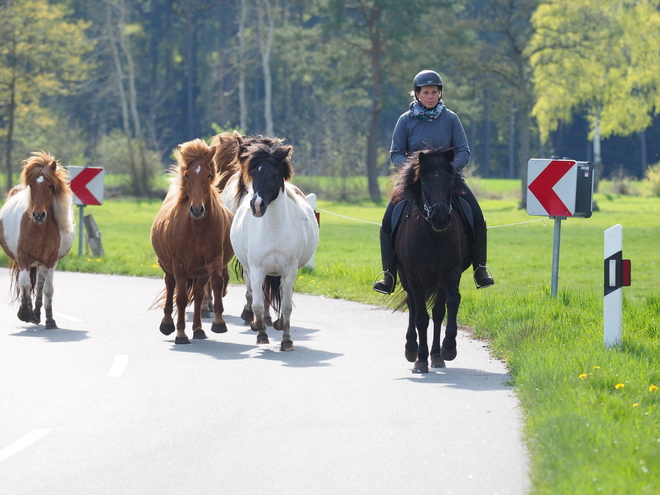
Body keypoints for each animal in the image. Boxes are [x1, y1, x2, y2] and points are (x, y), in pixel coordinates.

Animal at [0, 151, 75, 330]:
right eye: (32, 186)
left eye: (50, 186)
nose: (38, 215)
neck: (39, 229)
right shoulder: (23, 259)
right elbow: (25, 284)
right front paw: (24, 313)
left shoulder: (51, 261)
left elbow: (48, 289)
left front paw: (50, 320)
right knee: (25, 283)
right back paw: (29, 313)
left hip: (41, 263)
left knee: (40, 284)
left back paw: (37, 314)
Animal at [151, 140, 233, 344]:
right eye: (187, 175)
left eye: (209, 175)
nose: (197, 209)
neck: (196, 228)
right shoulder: (179, 265)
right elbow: (180, 298)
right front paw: (180, 333)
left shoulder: (213, 260)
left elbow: (217, 283)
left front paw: (218, 323)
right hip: (168, 267)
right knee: (170, 285)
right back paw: (167, 325)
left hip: (200, 272)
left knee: (198, 295)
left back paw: (198, 329)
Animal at [392, 149, 470, 374]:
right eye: (424, 181)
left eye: (449, 180)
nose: (440, 218)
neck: (431, 235)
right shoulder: (414, 277)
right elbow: (420, 317)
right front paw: (420, 360)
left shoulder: (450, 273)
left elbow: (449, 304)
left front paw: (448, 348)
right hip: (405, 277)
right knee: (413, 307)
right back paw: (412, 350)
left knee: (436, 312)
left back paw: (436, 355)